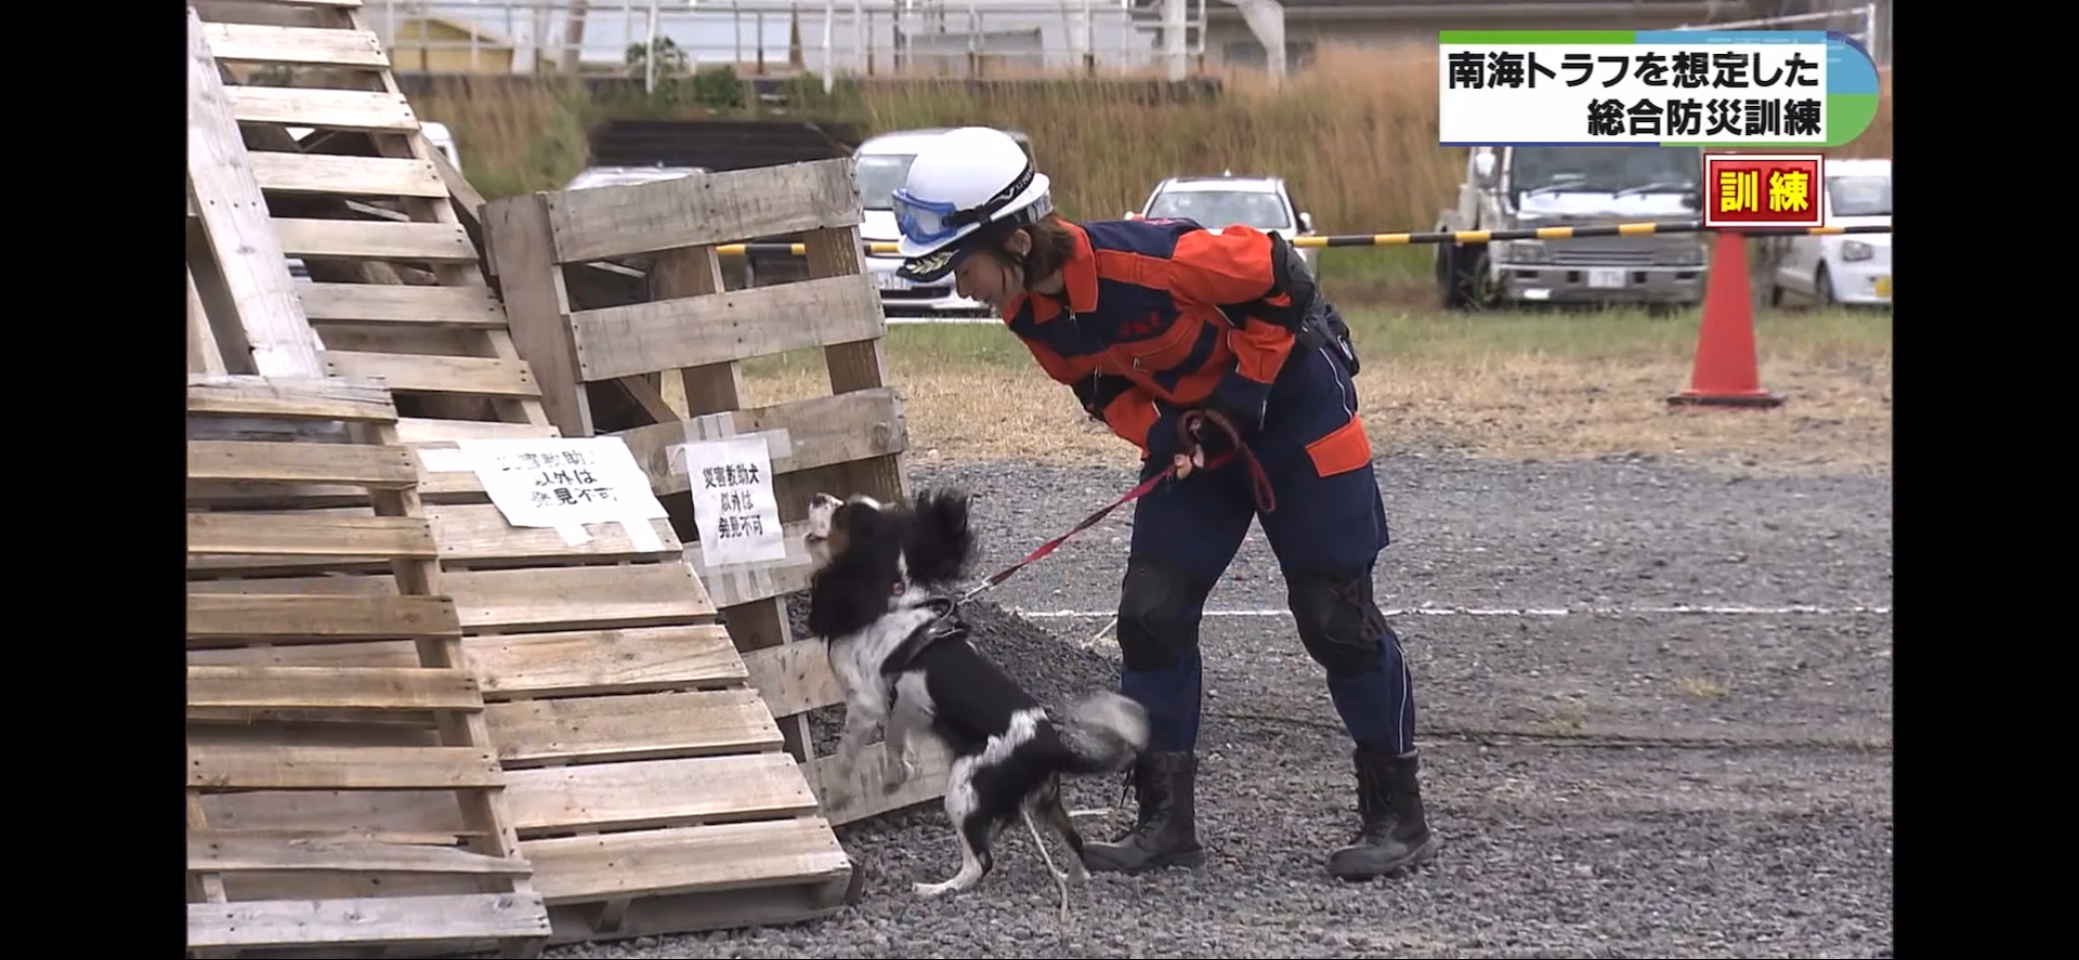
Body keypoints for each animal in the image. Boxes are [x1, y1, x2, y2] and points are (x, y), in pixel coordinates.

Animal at [802, 489, 1151, 898]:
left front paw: (840, 795)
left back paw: (936, 889)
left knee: (980, 863)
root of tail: (1050, 745)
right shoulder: (903, 706)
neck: (883, 599)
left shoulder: (865, 702)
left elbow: (846, 755)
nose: (817, 496)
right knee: (1075, 843)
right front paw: (896, 777)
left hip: (964, 792)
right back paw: (1068, 879)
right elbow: (894, 743)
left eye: (843, 516)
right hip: (1044, 801)